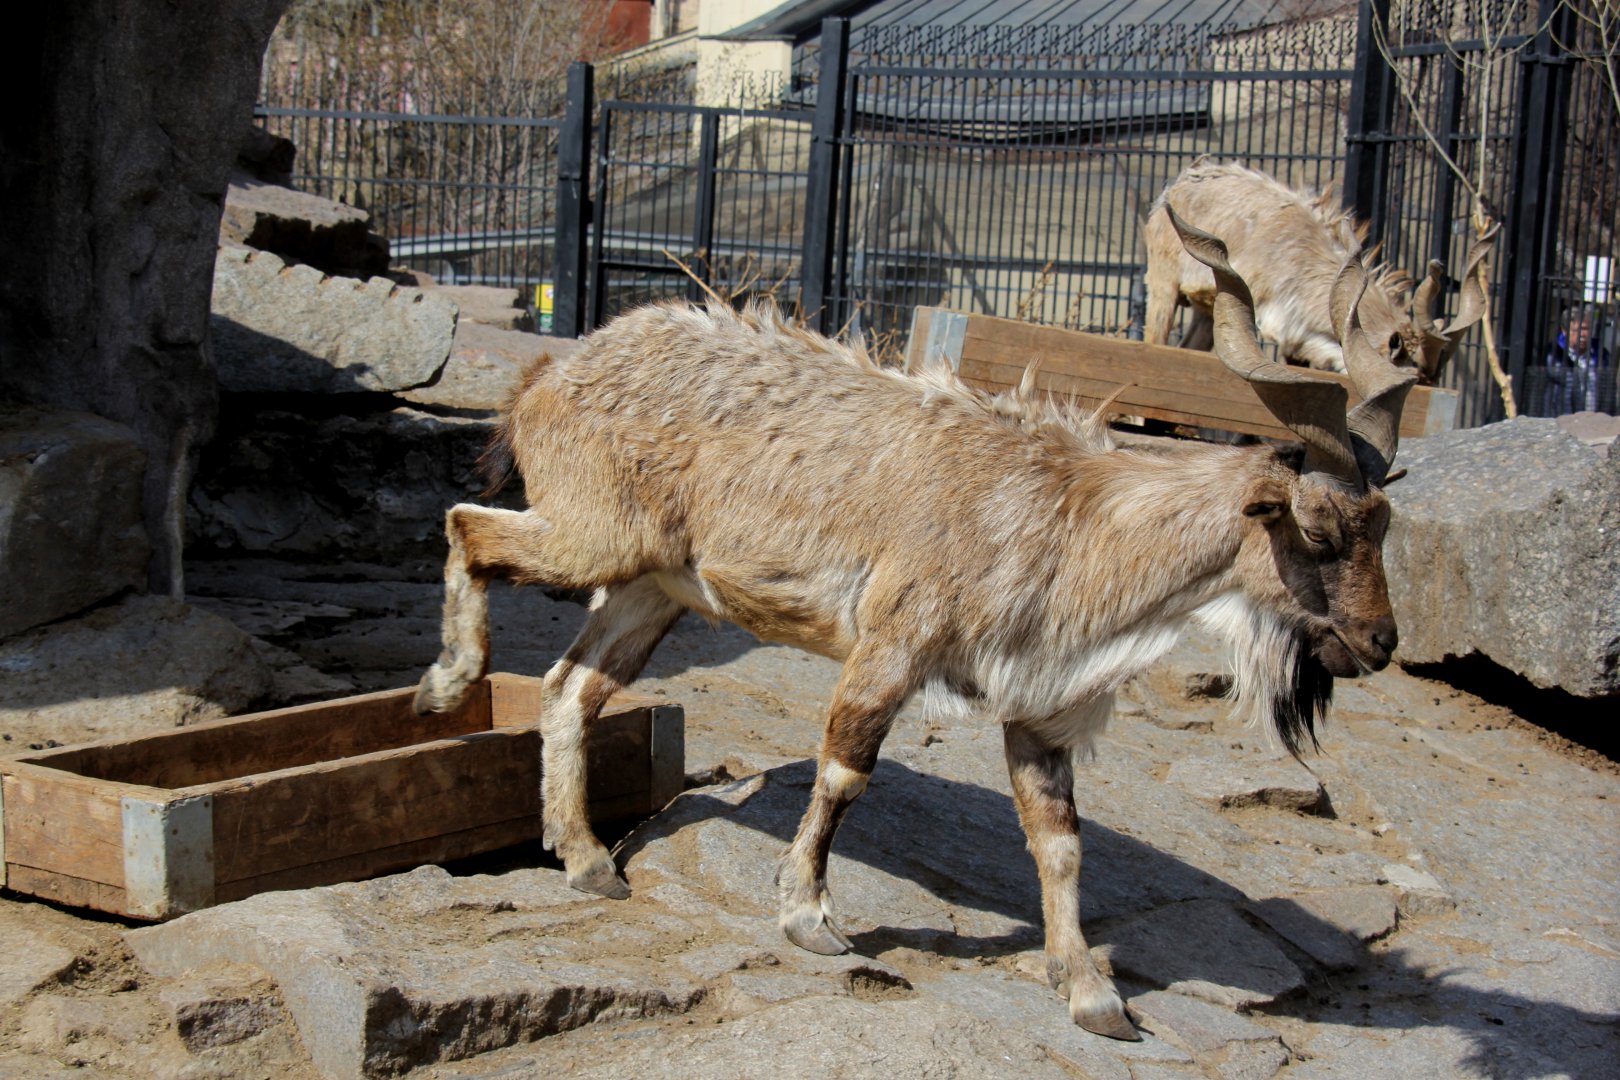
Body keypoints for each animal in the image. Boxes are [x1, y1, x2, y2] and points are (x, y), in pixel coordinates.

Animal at [414, 210, 1417, 1041]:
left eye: (1385, 529)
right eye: (1321, 532)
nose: (1379, 644)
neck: (1067, 518)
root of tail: (553, 370)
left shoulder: (1037, 712)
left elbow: (1060, 841)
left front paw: (1092, 995)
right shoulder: (891, 646)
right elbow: (845, 771)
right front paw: (810, 918)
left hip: (655, 586)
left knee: (569, 687)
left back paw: (586, 859)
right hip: (593, 535)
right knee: (467, 526)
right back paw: (446, 685)